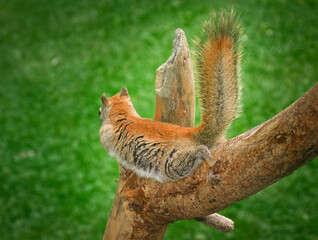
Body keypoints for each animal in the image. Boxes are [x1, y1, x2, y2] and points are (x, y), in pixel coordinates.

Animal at [99, 9, 241, 182]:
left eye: (99, 111)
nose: (99, 114)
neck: (122, 113)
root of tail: (192, 134)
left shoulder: (106, 138)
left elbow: (120, 164)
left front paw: (122, 175)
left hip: (174, 164)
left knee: (199, 151)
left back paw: (207, 163)